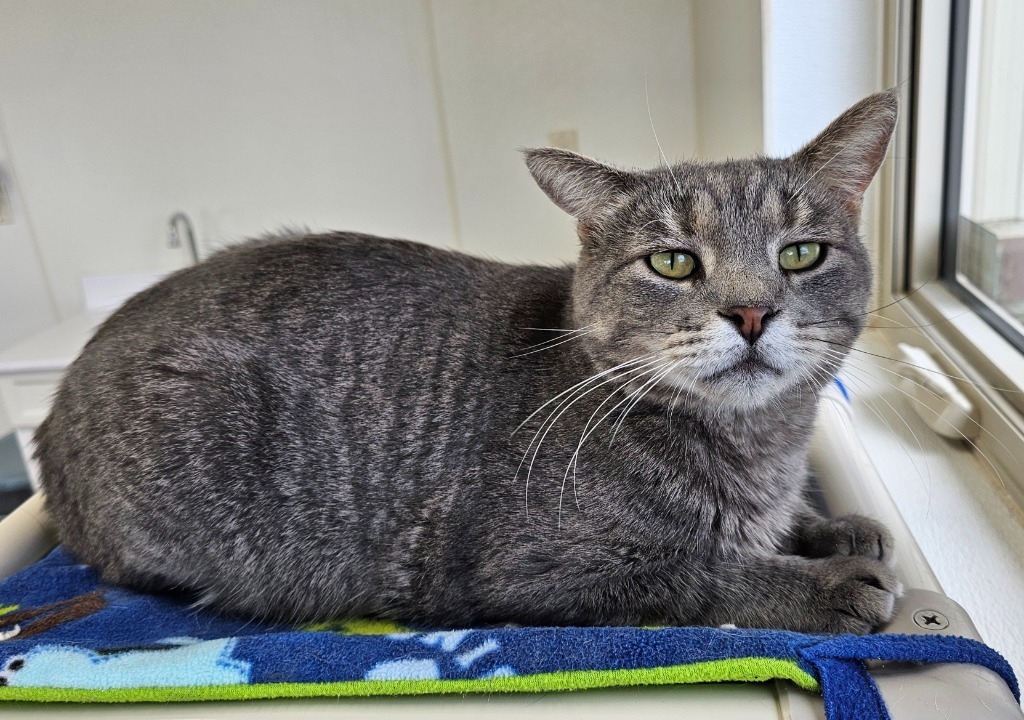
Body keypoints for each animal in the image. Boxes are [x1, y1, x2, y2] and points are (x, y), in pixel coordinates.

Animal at [34, 91, 897, 634]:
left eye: (801, 253)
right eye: (674, 263)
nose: (751, 312)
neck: (760, 447)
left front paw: (833, 529)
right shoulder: (527, 568)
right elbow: (692, 572)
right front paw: (817, 582)